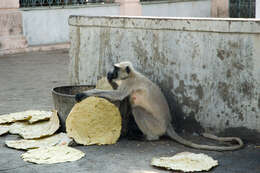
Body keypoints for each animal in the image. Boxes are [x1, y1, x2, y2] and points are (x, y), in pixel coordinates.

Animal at [75, 61, 244, 151]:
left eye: (116, 68)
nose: (111, 72)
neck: (132, 75)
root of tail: (167, 124)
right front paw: (109, 79)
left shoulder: (130, 83)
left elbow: (118, 95)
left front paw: (84, 94)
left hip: (155, 125)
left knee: (137, 109)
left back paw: (149, 137)